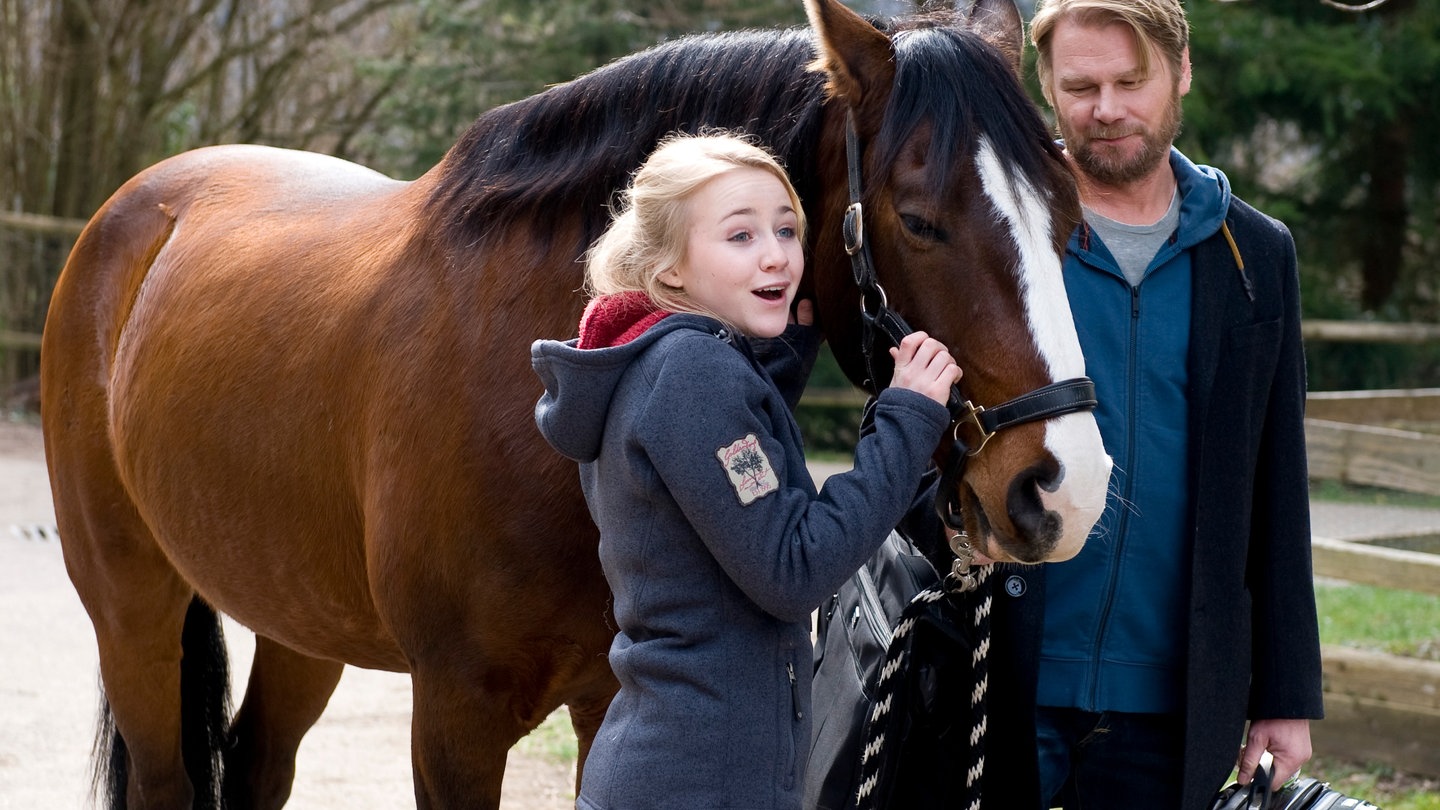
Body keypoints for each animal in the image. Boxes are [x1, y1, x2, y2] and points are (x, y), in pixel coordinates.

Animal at [39, 0, 1105, 801]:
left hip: (300, 621)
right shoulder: (455, 719)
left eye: (1068, 213)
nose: (1063, 488)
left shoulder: (607, 699)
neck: (537, 388)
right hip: (131, 608)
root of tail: (134, 212)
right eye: (919, 218)